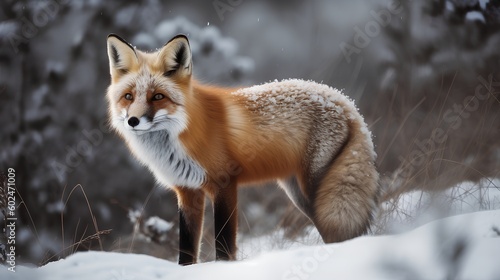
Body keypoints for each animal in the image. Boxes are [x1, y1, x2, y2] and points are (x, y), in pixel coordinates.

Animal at [105, 33, 378, 264]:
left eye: (158, 97)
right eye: (129, 97)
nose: (133, 121)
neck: (182, 135)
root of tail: (344, 101)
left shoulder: (224, 183)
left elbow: (224, 245)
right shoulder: (187, 191)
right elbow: (186, 249)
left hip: (318, 189)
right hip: (301, 195)